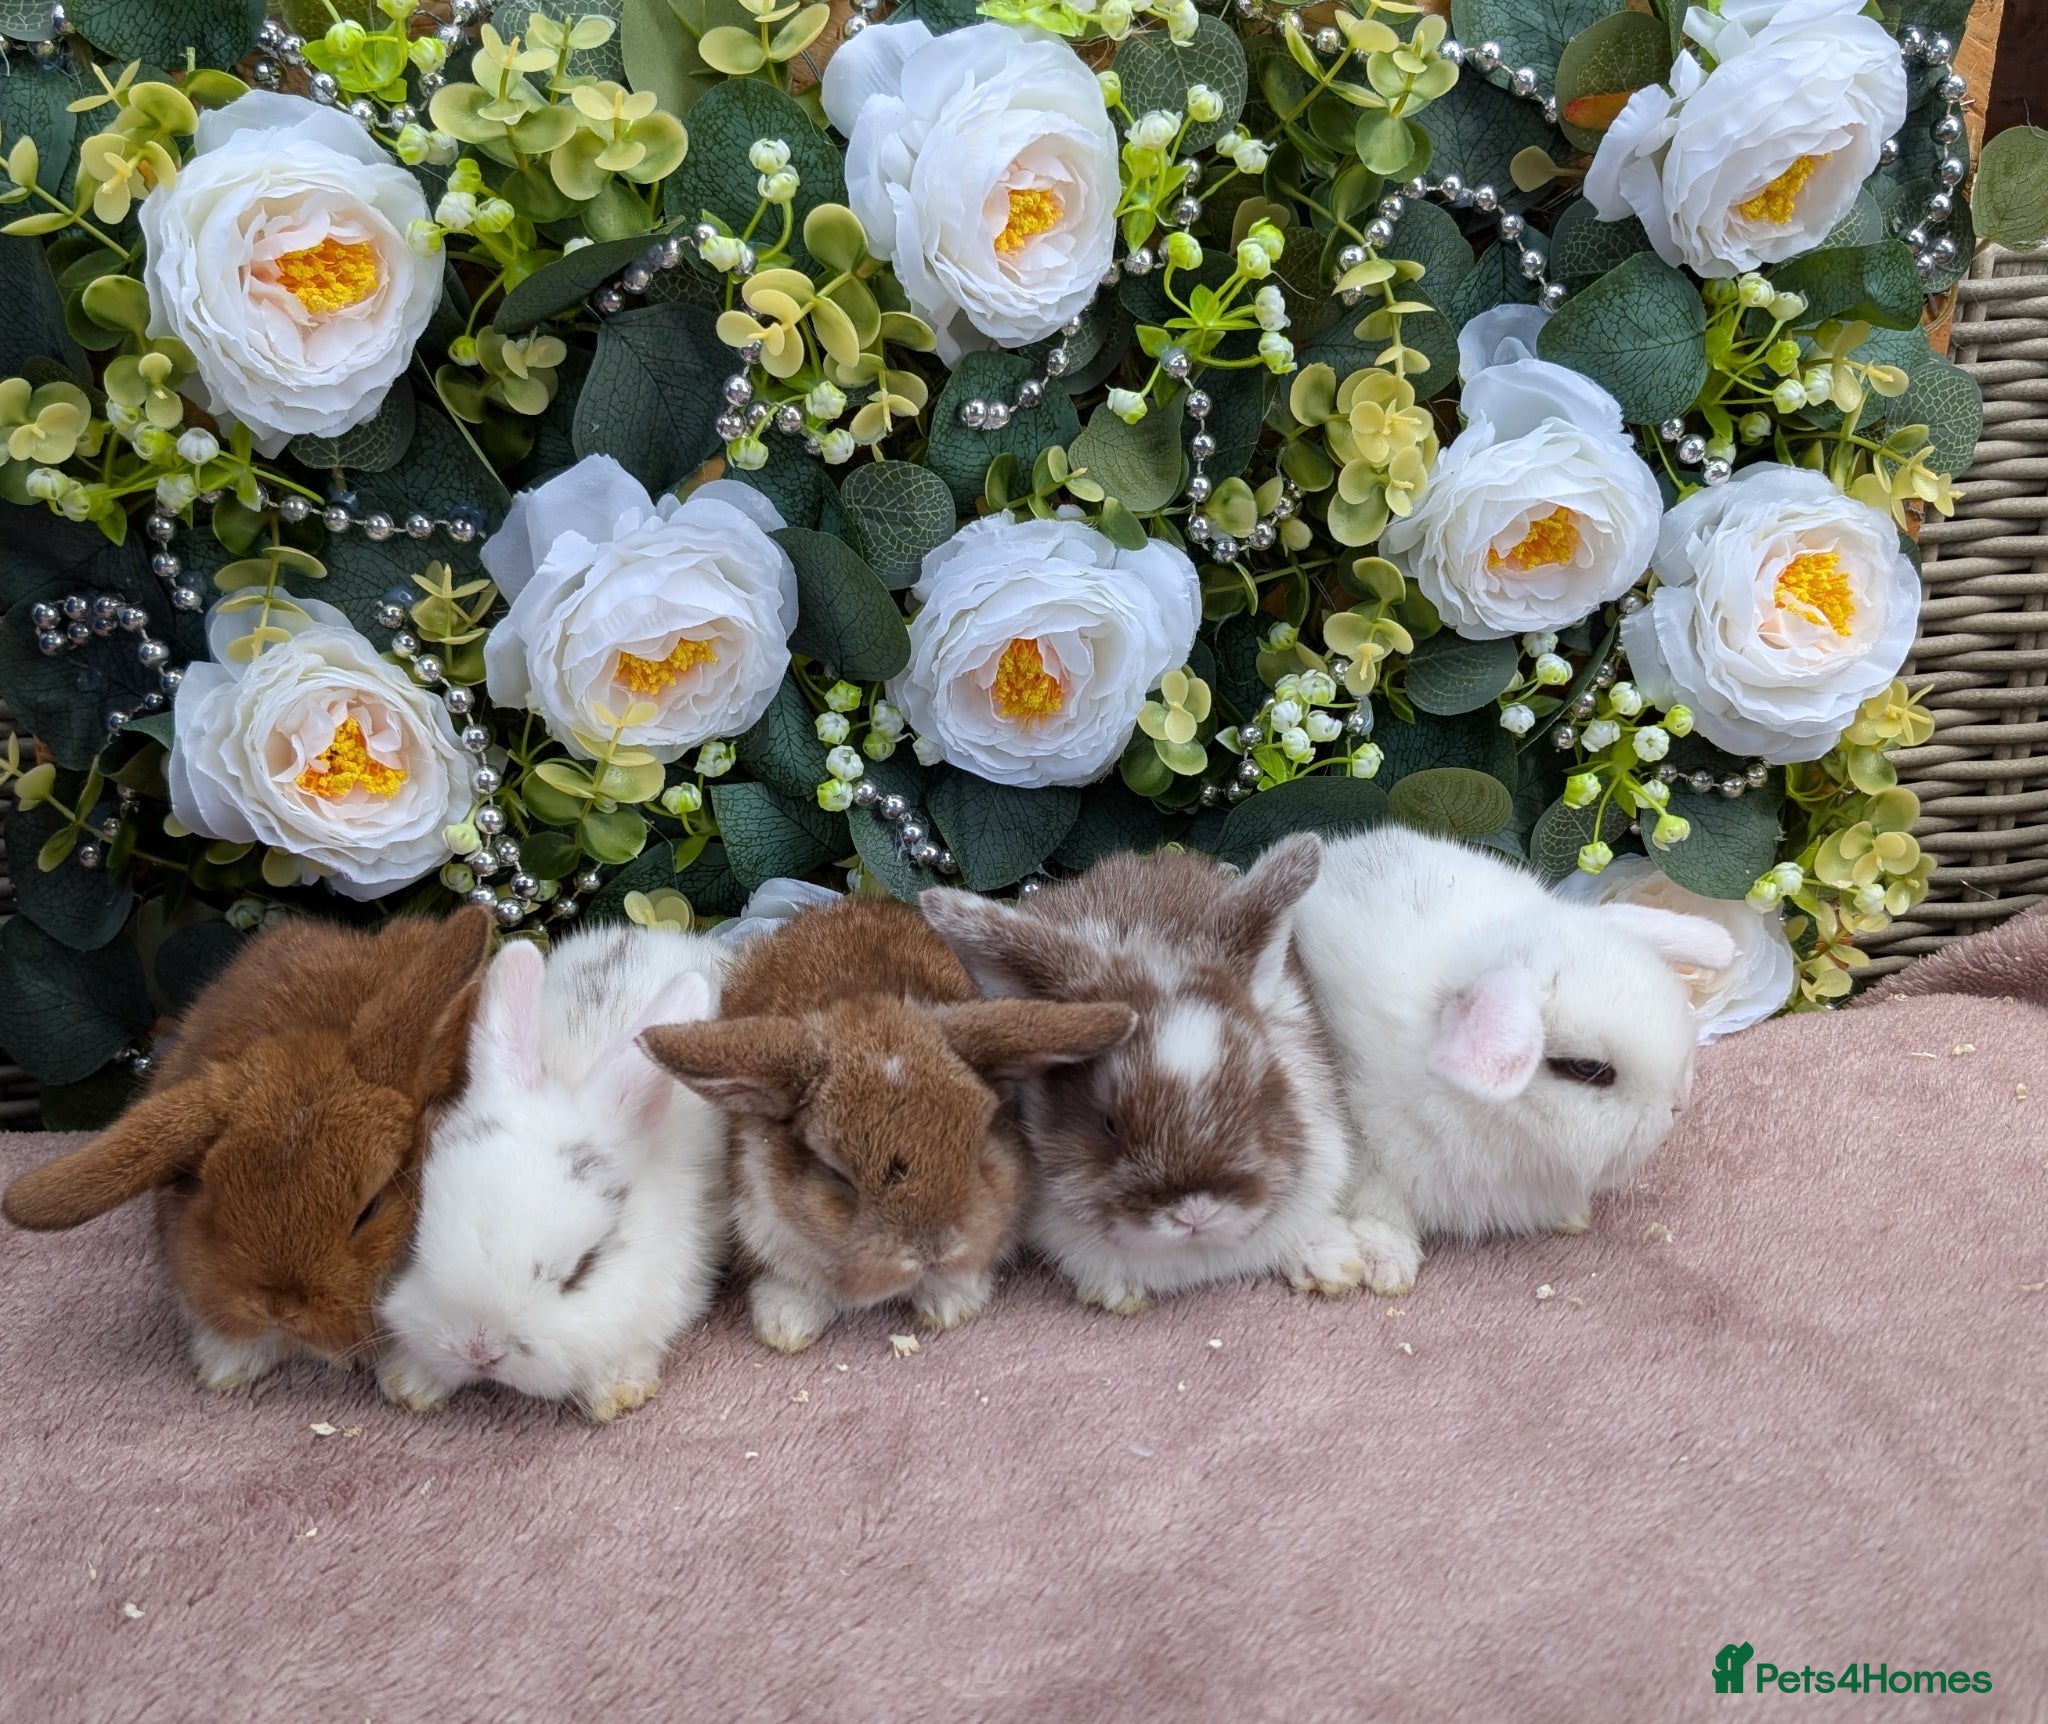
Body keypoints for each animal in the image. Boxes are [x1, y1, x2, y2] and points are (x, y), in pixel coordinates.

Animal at [1291, 826, 1740, 1293]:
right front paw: (1388, 1266)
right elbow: (1378, 1208)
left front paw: (1572, 1215)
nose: (1678, 1103)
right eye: (1587, 1069)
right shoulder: (1366, 1150)